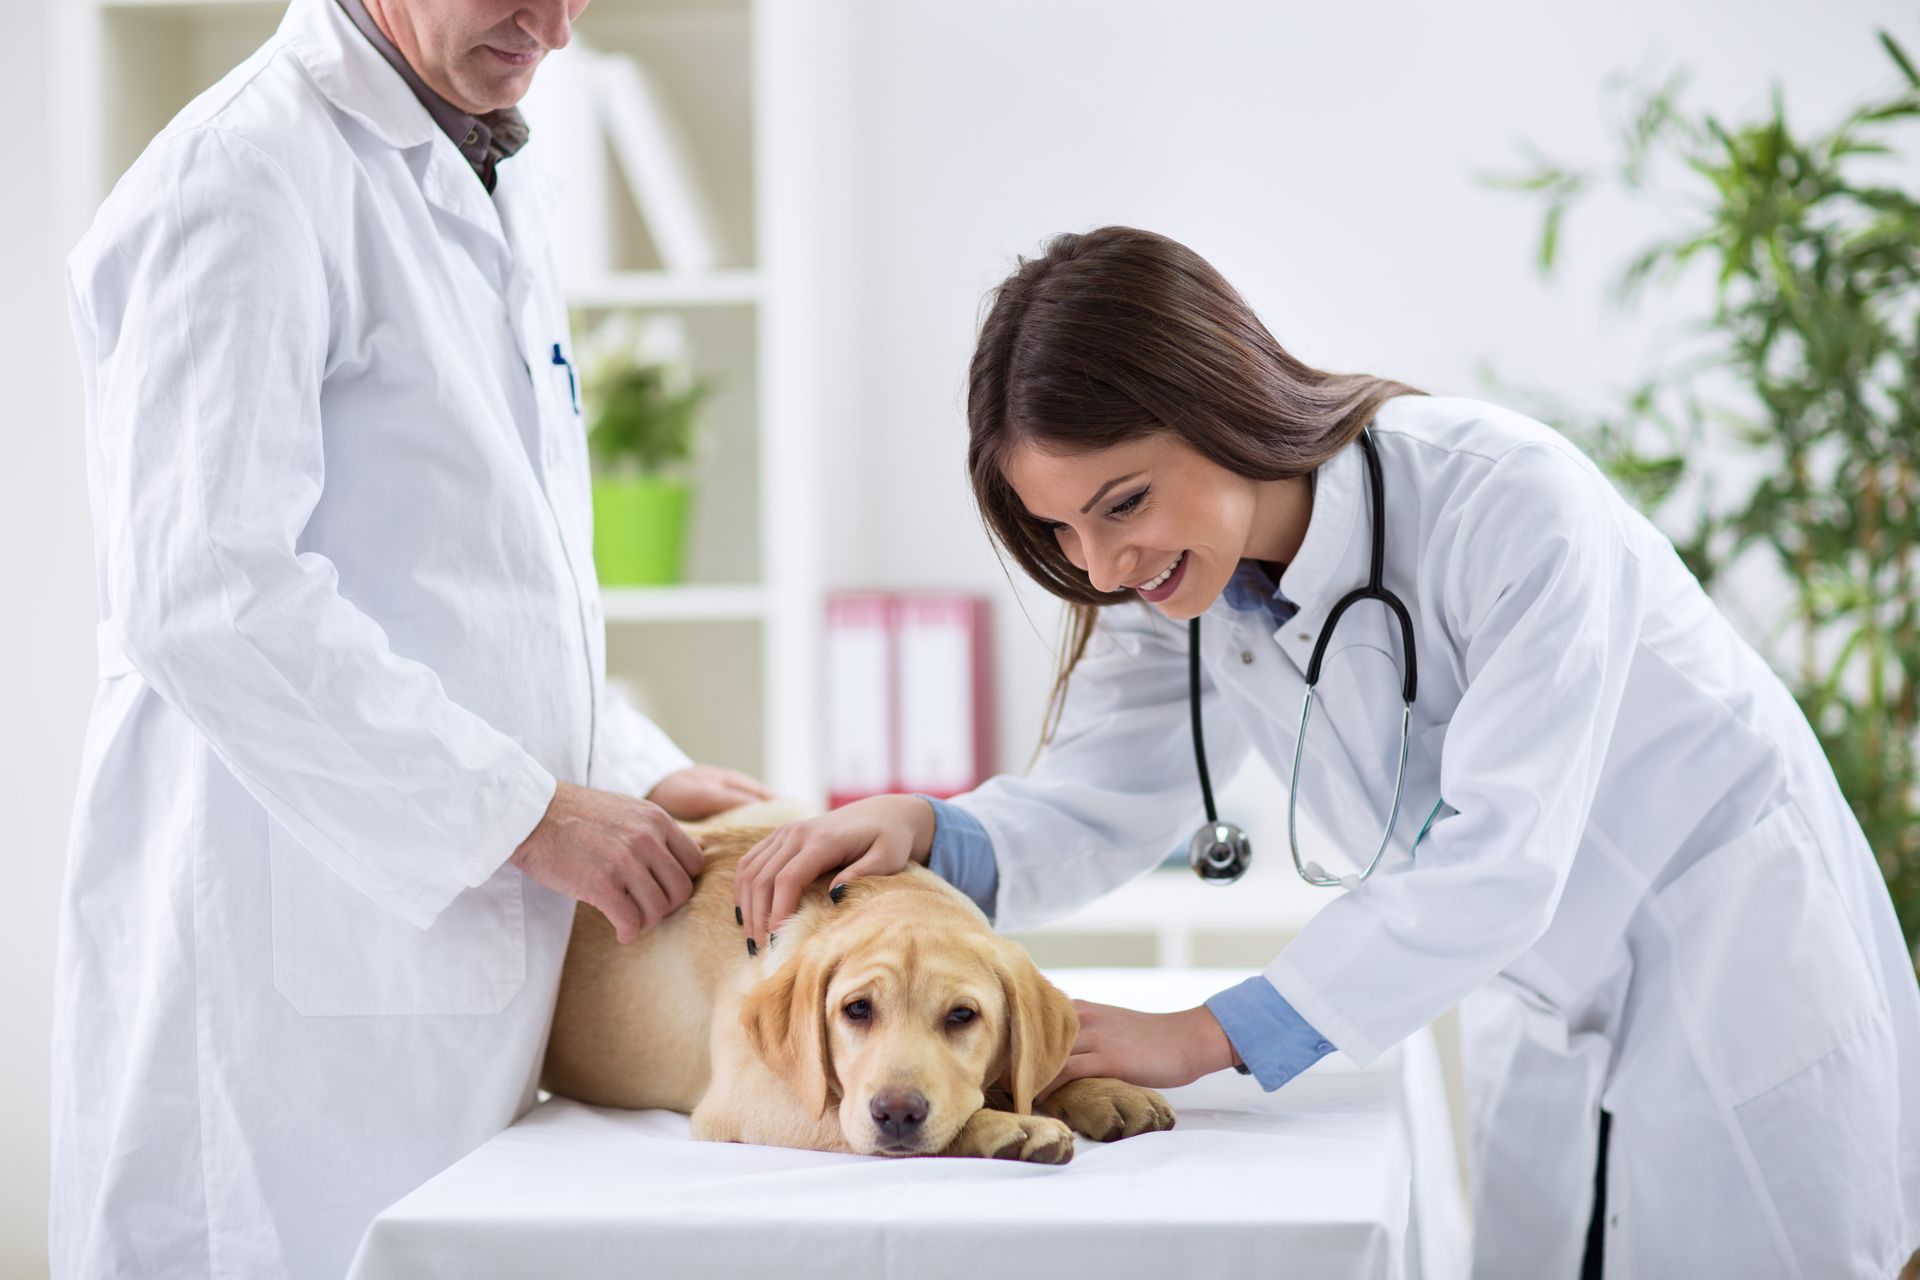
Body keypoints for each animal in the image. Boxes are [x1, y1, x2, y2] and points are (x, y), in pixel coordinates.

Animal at [533, 817, 1175, 1166]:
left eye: (962, 1016)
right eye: (857, 1010)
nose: (897, 1114)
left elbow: (1032, 1071)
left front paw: (1100, 1088)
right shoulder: (745, 1100)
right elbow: (853, 1116)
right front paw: (1006, 1126)